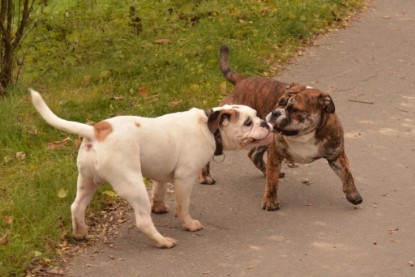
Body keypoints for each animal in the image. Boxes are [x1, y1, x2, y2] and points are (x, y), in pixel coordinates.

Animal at [30, 89, 274, 248]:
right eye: (248, 123)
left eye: (256, 116)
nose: (264, 122)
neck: (209, 127)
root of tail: (96, 131)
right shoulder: (185, 177)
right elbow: (183, 205)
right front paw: (188, 224)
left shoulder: (162, 173)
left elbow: (159, 190)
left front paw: (159, 207)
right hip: (132, 184)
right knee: (142, 221)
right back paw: (163, 241)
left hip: (87, 181)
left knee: (76, 207)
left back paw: (80, 233)